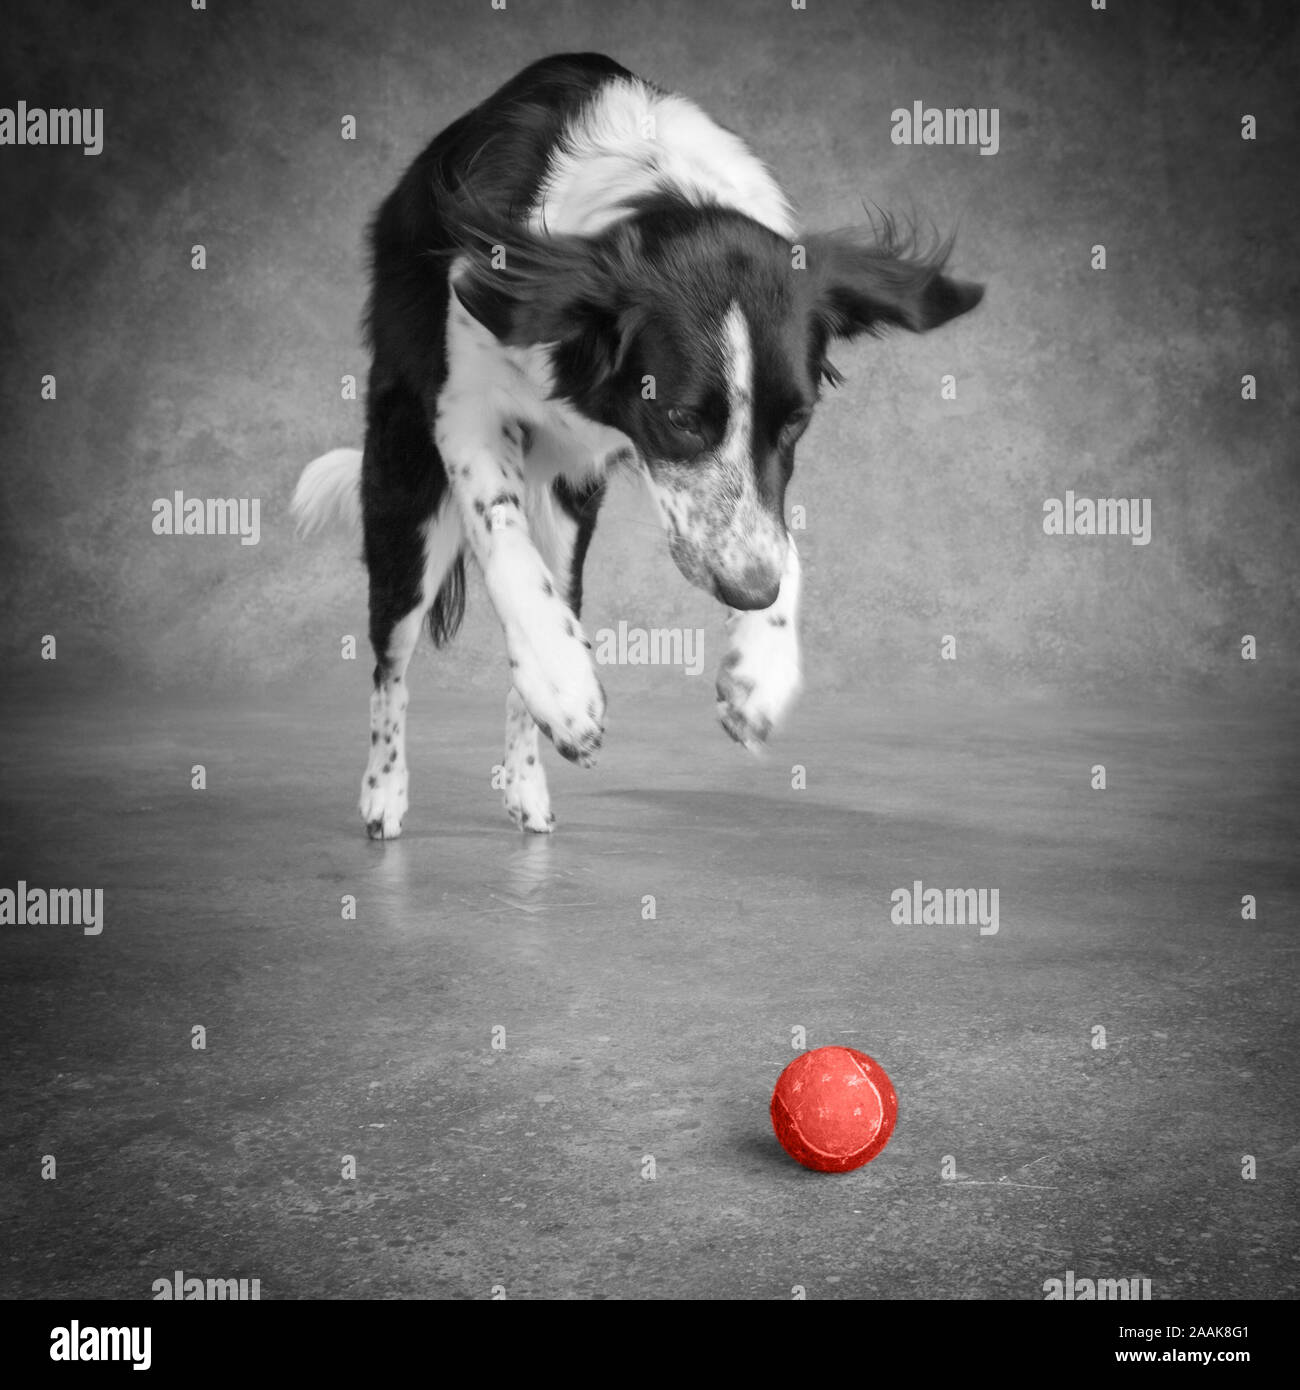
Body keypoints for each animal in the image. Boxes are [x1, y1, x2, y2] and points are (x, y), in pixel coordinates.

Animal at [291, 54, 984, 834]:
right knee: (392, 658)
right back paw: (385, 790)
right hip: (405, 490)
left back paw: (527, 784)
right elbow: (503, 544)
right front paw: (564, 685)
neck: (659, 186)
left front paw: (763, 666)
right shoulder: (466, 409)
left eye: (796, 422)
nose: (749, 594)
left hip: (566, 516)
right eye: (681, 417)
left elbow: (778, 532)